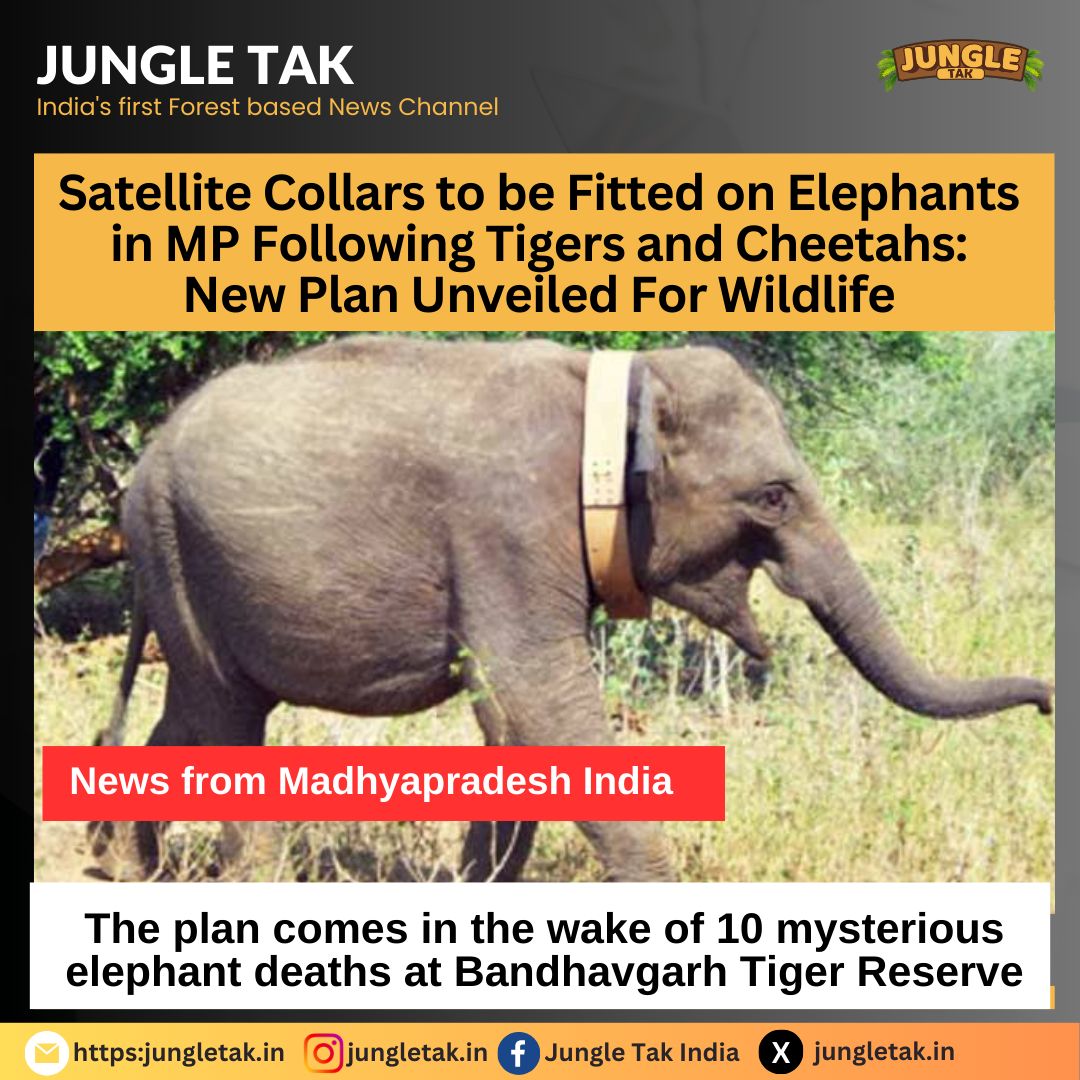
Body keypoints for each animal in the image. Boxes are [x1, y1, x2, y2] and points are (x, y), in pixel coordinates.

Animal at [104, 336, 1052, 881]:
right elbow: (537, 700)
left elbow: (513, 720)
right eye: (775, 497)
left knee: (194, 713)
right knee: (226, 720)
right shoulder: (509, 527)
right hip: (177, 549)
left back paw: (119, 872)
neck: (615, 383)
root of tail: (141, 464)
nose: (1047, 702)